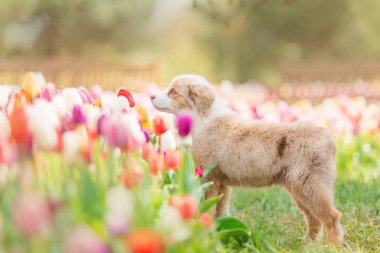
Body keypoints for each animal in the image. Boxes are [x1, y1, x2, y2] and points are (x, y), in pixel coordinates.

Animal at [151, 73, 344, 245]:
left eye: (173, 91)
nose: (151, 96)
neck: (203, 119)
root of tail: (328, 138)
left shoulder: (208, 176)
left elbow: (208, 206)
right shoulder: (222, 182)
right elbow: (220, 209)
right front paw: (217, 231)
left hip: (311, 185)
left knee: (332, 216)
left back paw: (333, 245)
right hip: (299, 188)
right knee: (314, 218)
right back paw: (307, 242)